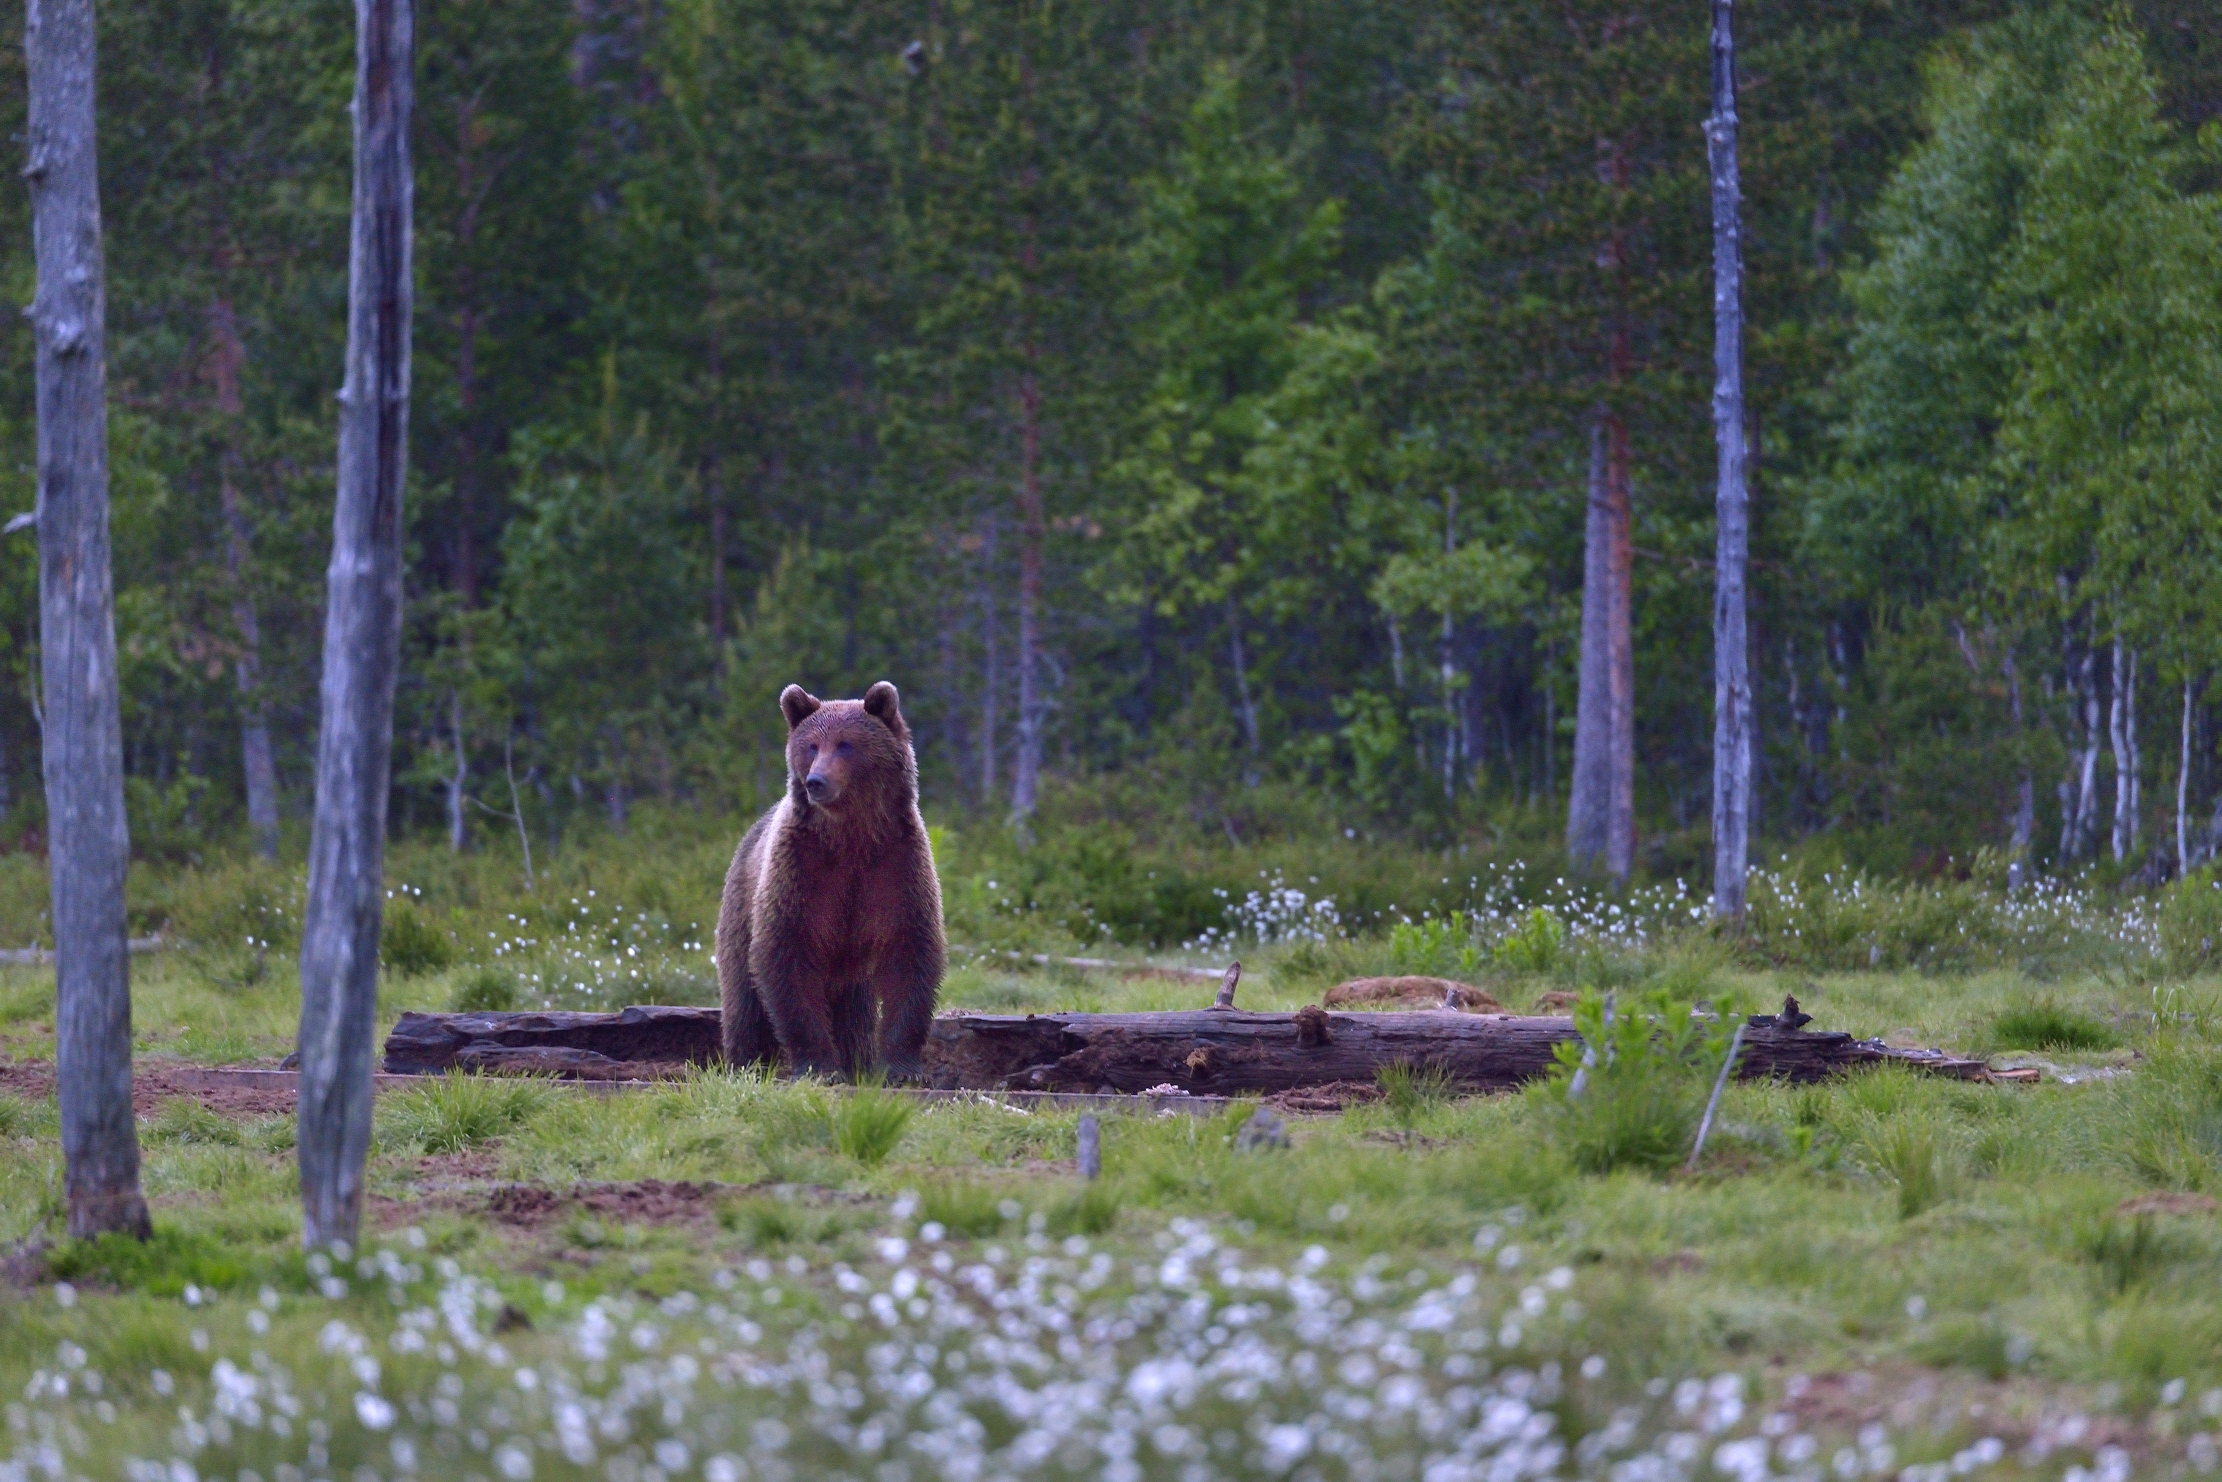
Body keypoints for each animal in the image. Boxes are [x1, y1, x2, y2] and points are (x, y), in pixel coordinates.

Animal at [716, 681, 945, 1081]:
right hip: (741, 908)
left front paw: (901, 1067)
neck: (850, 836)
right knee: (744, 999)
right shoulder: (801, 871)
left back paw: (858, 1061)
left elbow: (909, 951)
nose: (816, 782)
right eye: (811, 745)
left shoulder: (896, 865)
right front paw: (818, 1066)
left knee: (854, 1012)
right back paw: (746, 1063)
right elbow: (785, 954)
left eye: (845, 744)